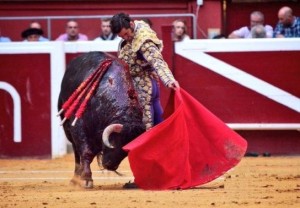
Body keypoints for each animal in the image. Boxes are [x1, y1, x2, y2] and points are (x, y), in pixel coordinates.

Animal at [57, 51, 146, 188]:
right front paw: (87, 179)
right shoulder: (78, 127)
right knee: (77, 152)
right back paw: (75, 178)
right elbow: (86, 152)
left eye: (126, 150)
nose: (110, 166)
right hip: (68, 128)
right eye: (115, 142)